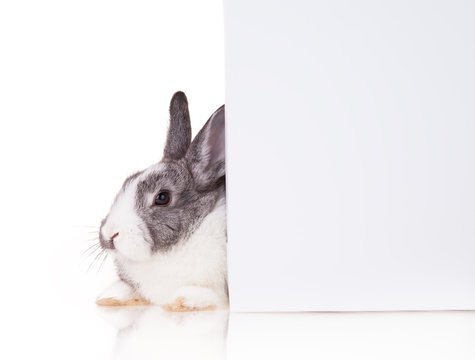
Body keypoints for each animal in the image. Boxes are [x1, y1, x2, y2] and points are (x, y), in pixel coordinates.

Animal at [96, 91, 228, 310]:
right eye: (127, 181)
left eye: (162, 197)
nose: (110, 234)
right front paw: (108, 297)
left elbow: (209, 295)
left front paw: (182, 300)